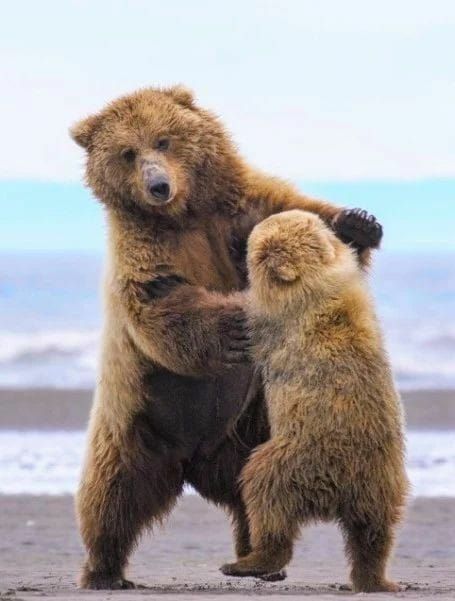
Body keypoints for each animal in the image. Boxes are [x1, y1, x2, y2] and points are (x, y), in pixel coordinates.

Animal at [70, 86, 384, 588]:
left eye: (163, 140)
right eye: (127, 152)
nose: (158, 186)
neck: (184, 215)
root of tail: (191, 459)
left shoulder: (240, 213)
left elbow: (297, 221)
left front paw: (358, 221)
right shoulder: (142, 249)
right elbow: (160, 298)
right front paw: (234, 326)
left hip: (245, 429)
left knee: (247, 493)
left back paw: (257, 556)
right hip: (135, 417)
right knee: (111, 492)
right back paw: (105, 570)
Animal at [221, 211, 410, 592]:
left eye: (257, 238)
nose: (249, 227)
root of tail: (337, 491)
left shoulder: (272, 318)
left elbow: (245, 315)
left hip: (298, 457)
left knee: (265, 491)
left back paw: (246, 563)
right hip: (382, 480)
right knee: (373, 533)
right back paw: (375, 580)